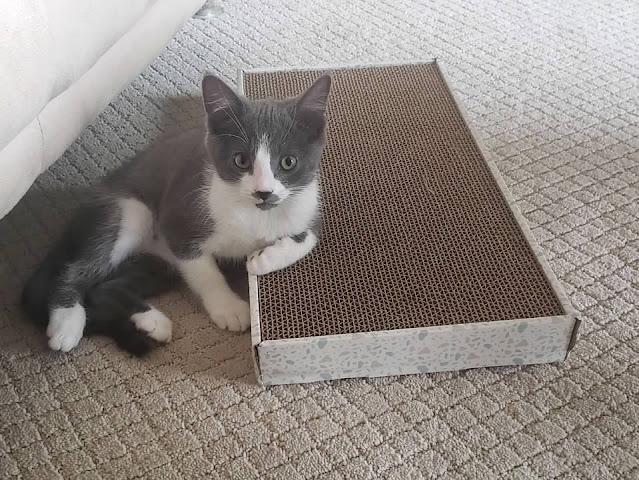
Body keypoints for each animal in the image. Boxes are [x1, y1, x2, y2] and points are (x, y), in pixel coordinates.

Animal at [21, 73, 331, 355]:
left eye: (288, 162)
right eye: (241, 160)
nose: (263, 192)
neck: (257, 214)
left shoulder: (306, 203)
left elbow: (309, 238)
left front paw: (265, 259)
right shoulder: (179, 217)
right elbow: (204, 271)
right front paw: (228, 307)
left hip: (156, 264)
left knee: (103, 288)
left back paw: (151, 322)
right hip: (130, 211)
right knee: (75, 271)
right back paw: (67, 323)